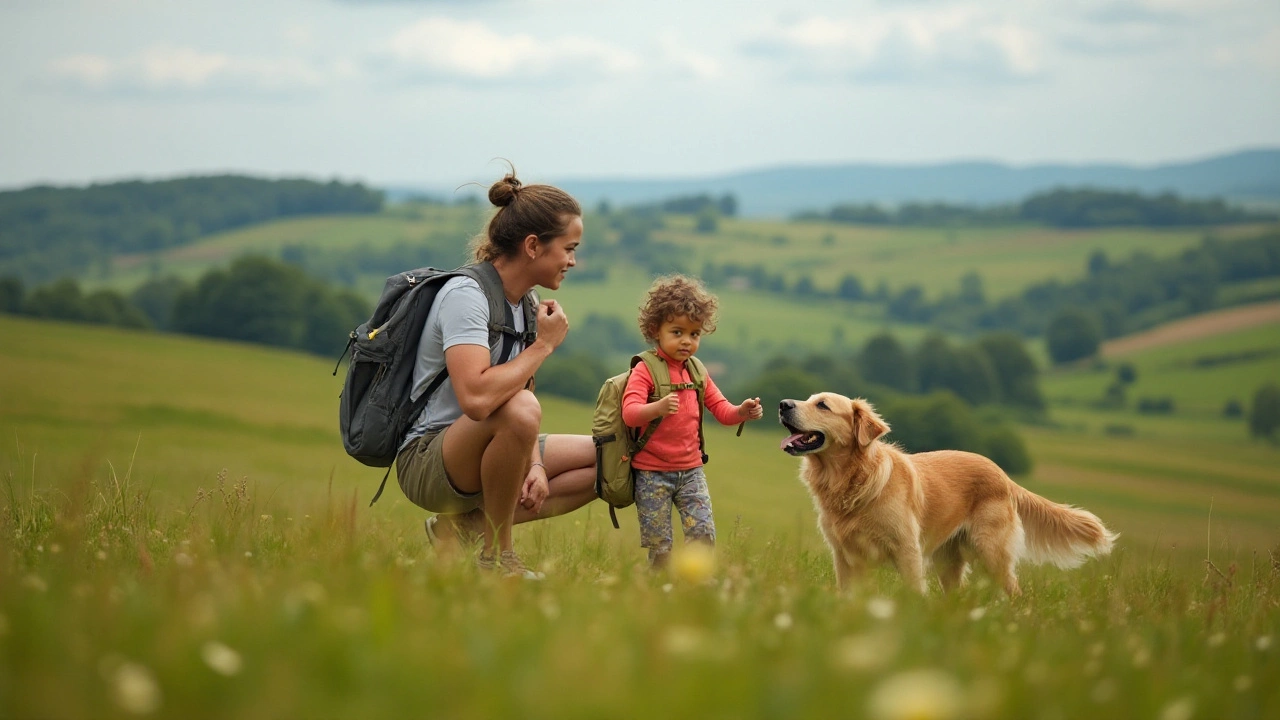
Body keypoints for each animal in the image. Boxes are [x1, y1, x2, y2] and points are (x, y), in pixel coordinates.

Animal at [773, 392, 1116, 594]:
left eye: (822, 405)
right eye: (808, 399)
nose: (783, 404)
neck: (852, 480)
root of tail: (1004, 476)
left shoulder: (907, 550)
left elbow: (914, 591)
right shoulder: (844, 555)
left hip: (991, 552)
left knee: (1015, 592)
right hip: (948, 562)